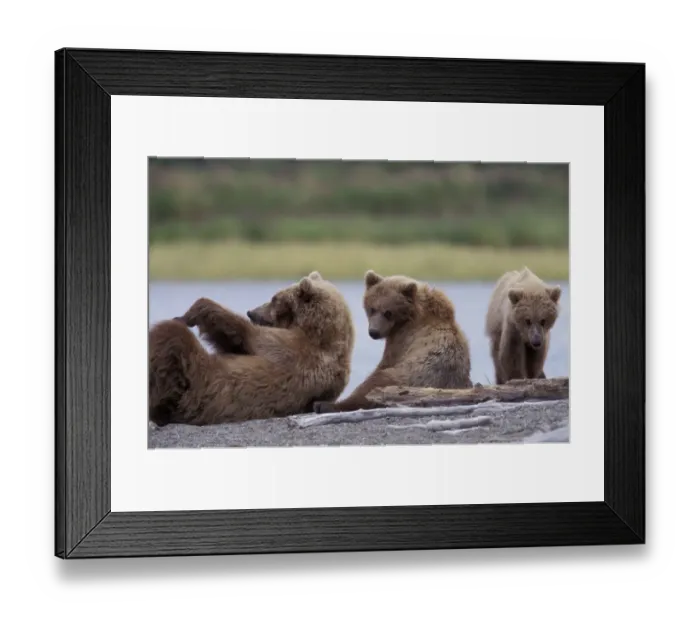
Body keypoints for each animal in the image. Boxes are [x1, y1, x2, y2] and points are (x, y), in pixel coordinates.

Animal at [148, 271, 355, 426]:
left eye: (274, 298)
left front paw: (186, 315)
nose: (251, 312)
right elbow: (232, 342)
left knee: (170, 338)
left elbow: (245, 333)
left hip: (194, 387)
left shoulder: (289, 349)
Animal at [312, 270, 472, 413]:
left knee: (373, 383)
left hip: (405, 377)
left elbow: (384, 363)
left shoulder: (402, 338)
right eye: (372, 309)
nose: (374, 332)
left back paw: (325, 405)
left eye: (388, 312)